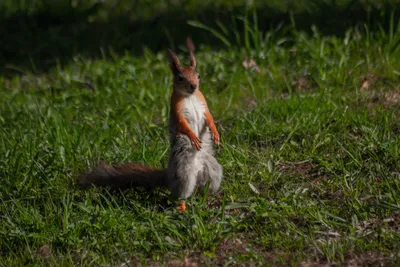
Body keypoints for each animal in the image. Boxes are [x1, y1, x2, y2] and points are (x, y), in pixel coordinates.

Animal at [77, 37, 222, 209]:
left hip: (213, 171)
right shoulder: (177, 110)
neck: (190, 96)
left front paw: (215, 133)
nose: (193, 86)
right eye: (180, 77)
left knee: (205, 186)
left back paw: (210, 198)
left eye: (198, 75)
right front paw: (193, 137)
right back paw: (181, 207)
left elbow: (209, 118)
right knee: (179, 194)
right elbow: (183, 124)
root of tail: (169, 176)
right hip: (185, 174)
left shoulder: (203, 105)